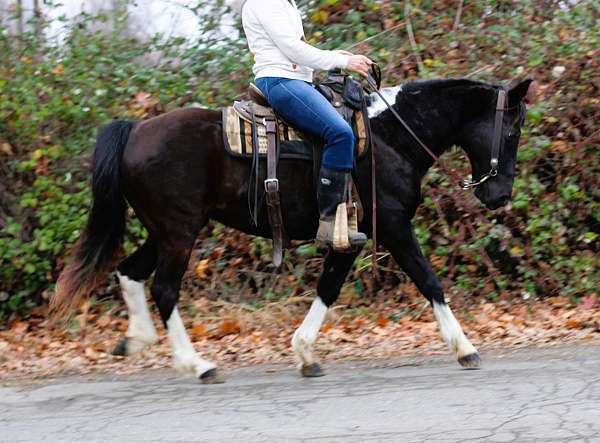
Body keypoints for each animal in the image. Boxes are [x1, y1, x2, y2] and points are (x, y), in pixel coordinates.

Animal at [50, 78, 528, 384]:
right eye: (512, 129)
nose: (500, 194)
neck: (389, 137)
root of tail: (135, 130)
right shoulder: (392, 225)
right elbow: (429, 281)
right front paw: (465, 348)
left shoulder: (351, 237)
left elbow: (328, 287)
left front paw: (304, 353)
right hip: (179, 233)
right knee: (165, 289)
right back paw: (198, 364)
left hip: (165, 230)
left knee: (130, 272)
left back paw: (137, 340)